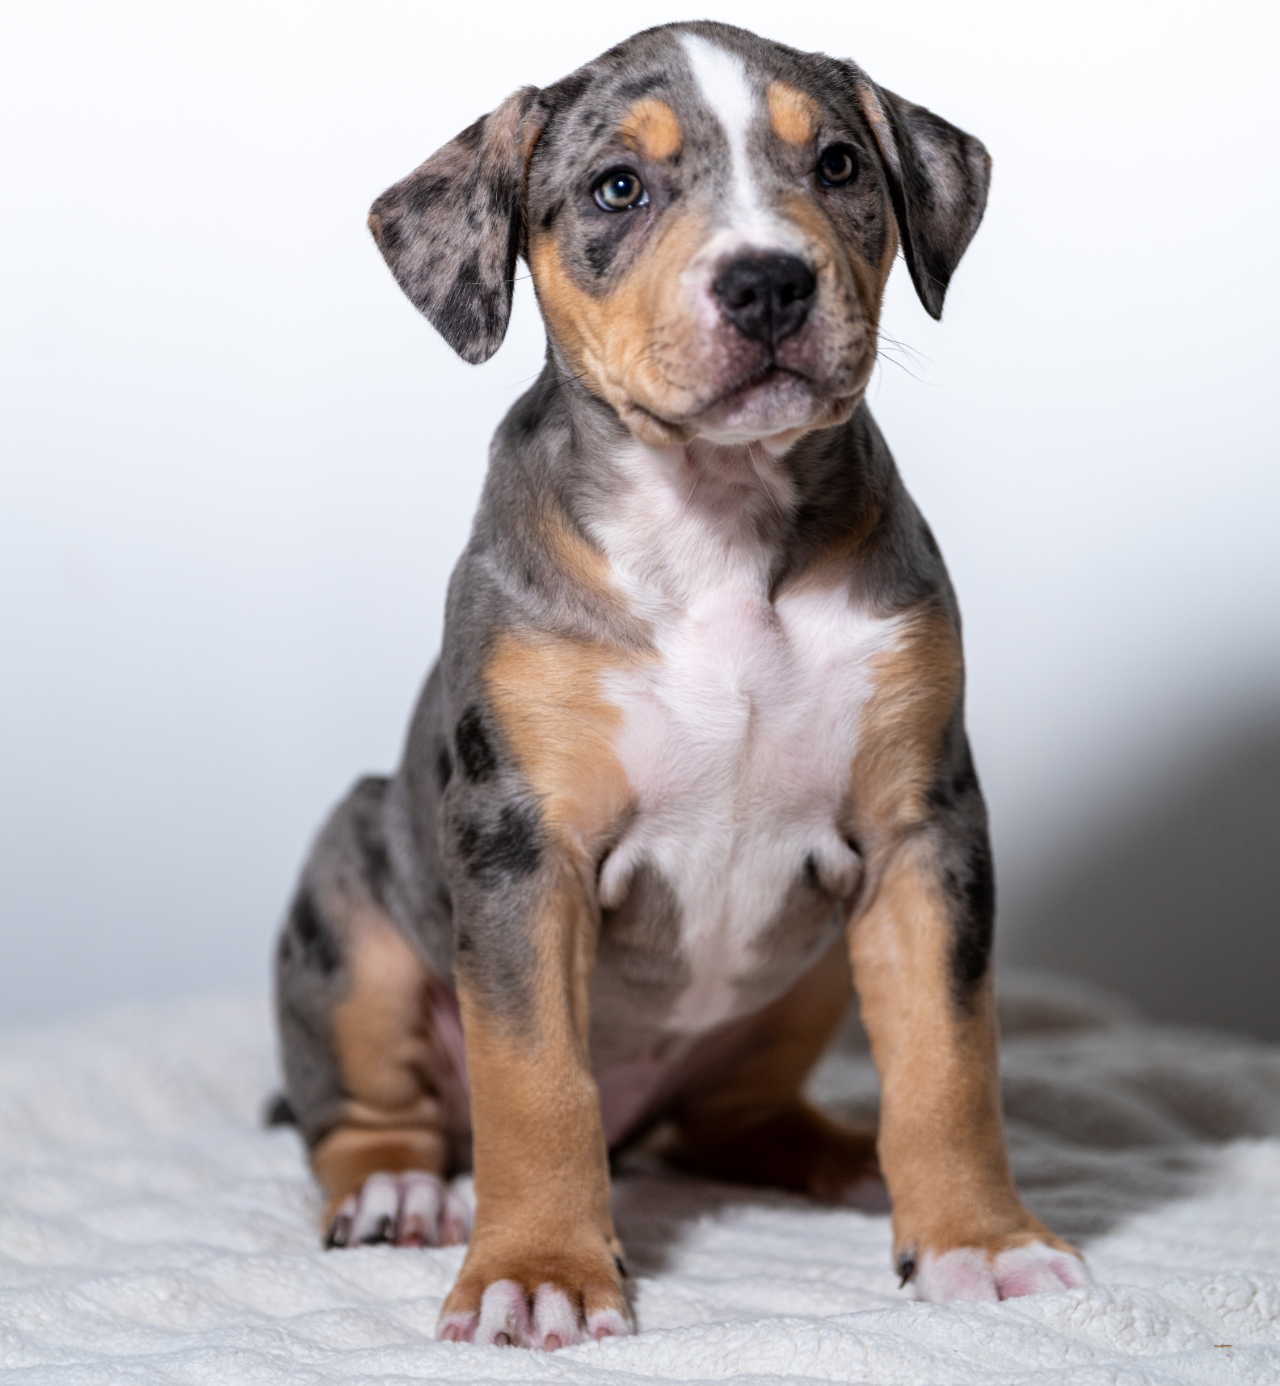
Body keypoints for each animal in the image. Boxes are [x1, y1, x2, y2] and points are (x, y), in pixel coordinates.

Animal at [274, 19, 1090, 1350]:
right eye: (618, 189)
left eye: (837, 165)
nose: (766, 283)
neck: (716, 514)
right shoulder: (521, 847)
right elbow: (532, 1082)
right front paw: (539, 1272)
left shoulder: (921, 832)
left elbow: (947, 1057)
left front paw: (978, 1240)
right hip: (350, 914)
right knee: (362, 1114)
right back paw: (401, 1189)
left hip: (802, 981)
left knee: (737, 1116)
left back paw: (846, 1156)